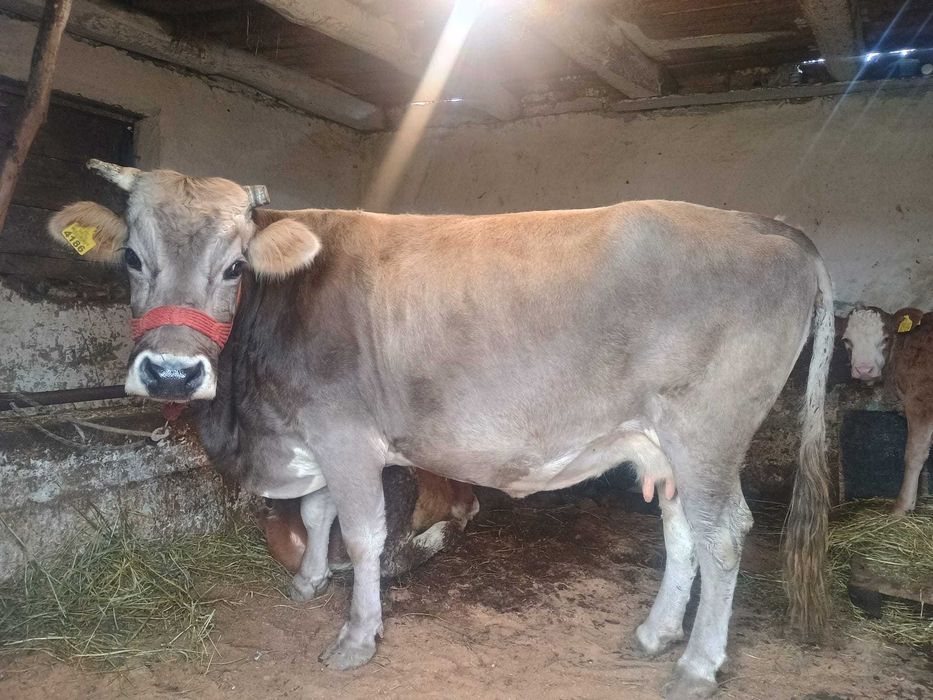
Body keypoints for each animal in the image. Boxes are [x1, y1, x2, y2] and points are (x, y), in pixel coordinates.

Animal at [48, 160, 835, 699]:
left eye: (235, 267)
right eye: (132, 258)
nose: (171, 374)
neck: (253, 418)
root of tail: (773, 227)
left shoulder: (344, 432)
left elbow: (362, 533)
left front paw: (357, 637)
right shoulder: (314, 432)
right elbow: (317, 511)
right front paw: (307, 583)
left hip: (708, 432)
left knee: (724, 533)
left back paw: (697, 666)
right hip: (662, 444)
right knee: (680, 530)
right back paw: (655, 633)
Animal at [839, 306, 932, 515]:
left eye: (886, 338)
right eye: (846, 340)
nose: (864, 369)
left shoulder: (921, 401)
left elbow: (914, 454)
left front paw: (901, 507)